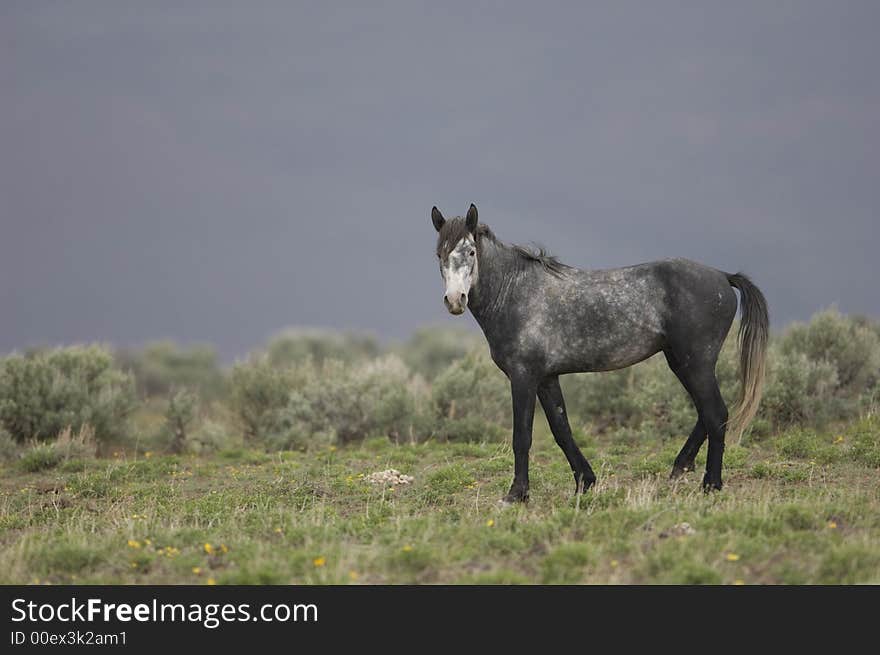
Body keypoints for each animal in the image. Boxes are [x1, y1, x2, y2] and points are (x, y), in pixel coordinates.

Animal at [430, 204, 768, 502]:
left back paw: (711, 484)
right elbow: (561, 430)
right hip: (681, 361)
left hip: (695, 362)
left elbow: (522, 437)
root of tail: (722, 276)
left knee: (715, 414)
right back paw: (680, 468)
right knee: (706, 414)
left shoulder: (523, 377)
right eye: (440, 254)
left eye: (471, 252)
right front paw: (585, 481)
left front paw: (517, 494)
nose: (455, 300)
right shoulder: (547, 378)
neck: (515, 293)